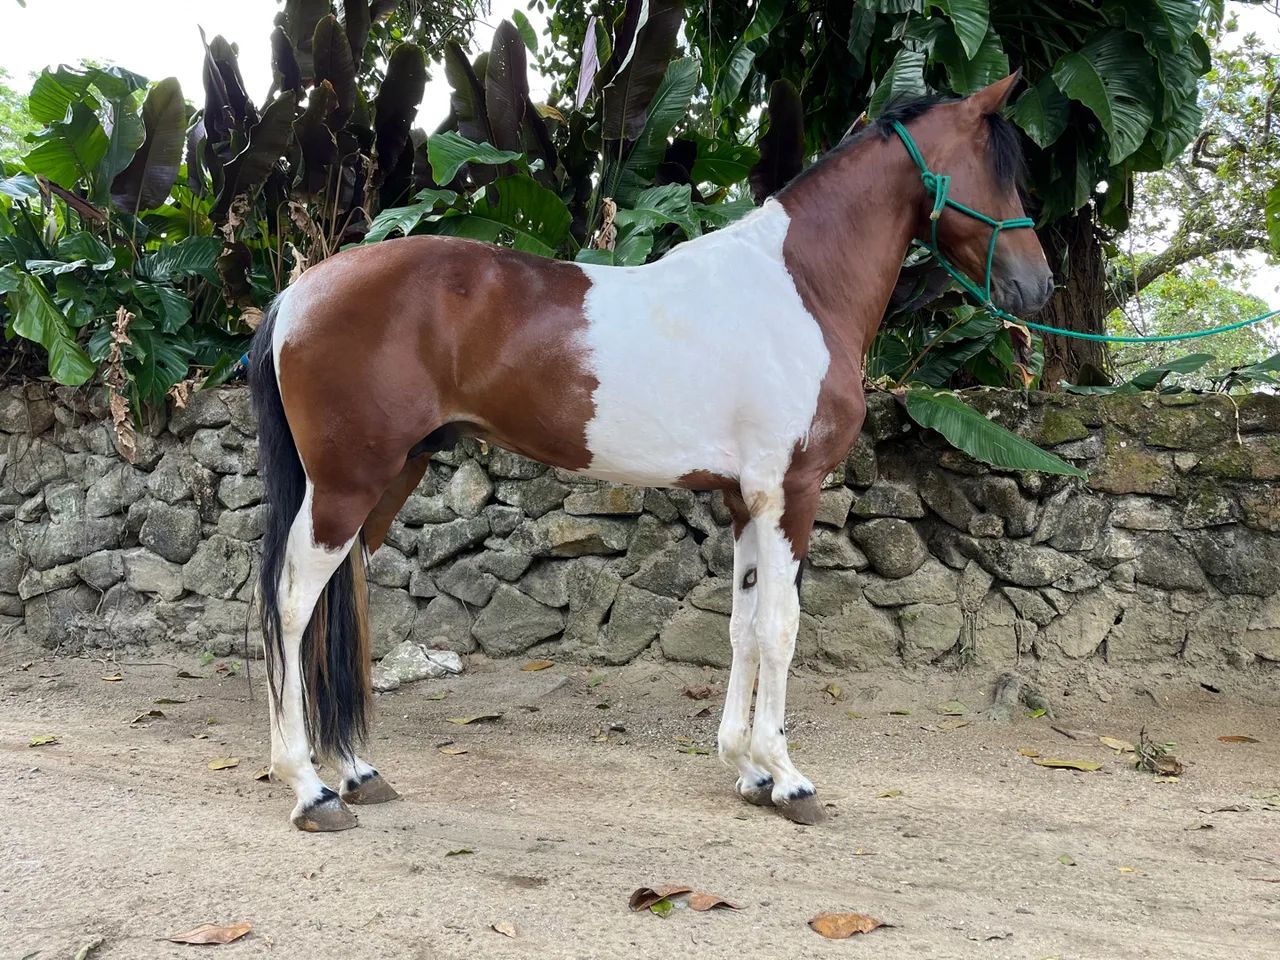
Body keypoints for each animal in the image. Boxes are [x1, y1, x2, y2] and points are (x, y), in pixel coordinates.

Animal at [247, 71, 1049, 829]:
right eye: (995, 168)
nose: (1037, 285)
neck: (800, 289)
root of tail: (299, 293)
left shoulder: (744, 499)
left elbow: (743, 626)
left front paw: (747, 770)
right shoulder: (789, 491)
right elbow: (781, 627)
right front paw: (788, 778)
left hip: (387, 479)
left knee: (336, 605)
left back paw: (355, 771)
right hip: (348, 484)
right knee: (291, 604)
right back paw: (310, 789)